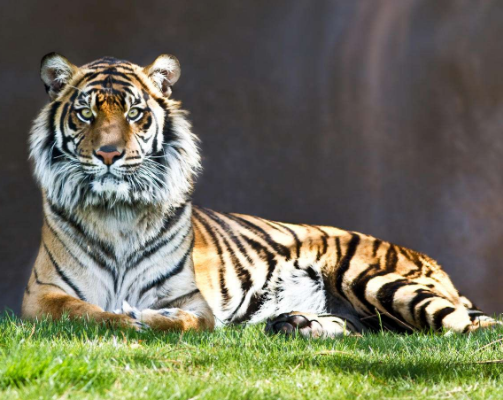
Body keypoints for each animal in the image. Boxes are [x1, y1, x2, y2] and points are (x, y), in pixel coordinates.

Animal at [21, 53, 498, 338]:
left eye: (135, 113)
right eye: (85, 113)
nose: (108, 154)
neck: (117, 213)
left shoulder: (192, 300)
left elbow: (184, 321)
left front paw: (150, 318)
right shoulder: (41, 297)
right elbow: (87, 313)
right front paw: (127, 318)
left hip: (378, 280)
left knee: (476, 328)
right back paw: (296, 323)